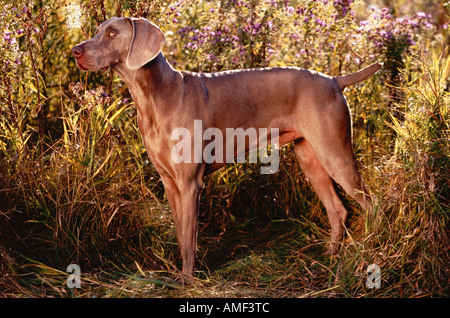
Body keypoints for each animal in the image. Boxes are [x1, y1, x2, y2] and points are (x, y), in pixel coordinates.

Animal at [72, 17, 382, 282]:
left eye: (112, 34)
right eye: (98, 30)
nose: (75, 51)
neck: (154, 98)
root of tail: (334, 81)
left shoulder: (190, 184)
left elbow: (189, 240)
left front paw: (187, 280)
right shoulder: (170, 183)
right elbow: (181, 234)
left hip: (335, 154)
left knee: (372, 205)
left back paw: (369, 252)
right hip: (310, 158)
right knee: (338, 209)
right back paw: (329, 257)